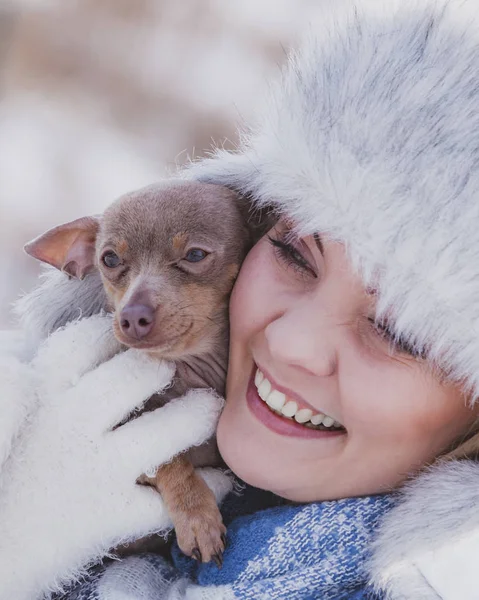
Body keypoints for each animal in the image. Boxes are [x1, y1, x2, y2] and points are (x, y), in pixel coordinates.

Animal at [24, 180, 260, 564]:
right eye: (109, 259)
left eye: (196, 255)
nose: (132, 316)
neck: (194, 369)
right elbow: (169, 461)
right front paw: (197, 517)